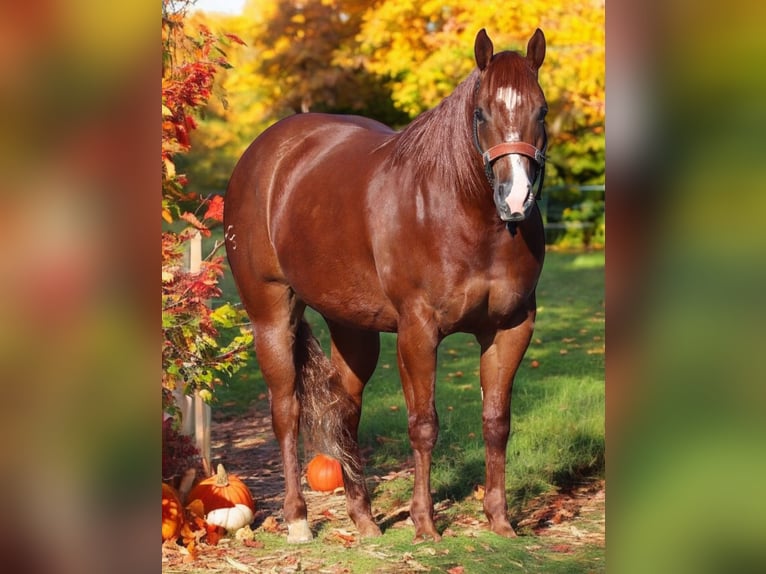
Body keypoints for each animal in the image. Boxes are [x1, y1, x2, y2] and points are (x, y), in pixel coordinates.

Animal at [225, 28, 548, 544]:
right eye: (481, 112)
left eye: (541, 110)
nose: (516, 199)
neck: (463, 212)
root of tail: (264, 154)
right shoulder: (418, 331)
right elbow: (423, 425)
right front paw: (425, 524)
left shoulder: (512, 327)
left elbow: (497, 422)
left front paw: (500, 521)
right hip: (271, 315)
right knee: (287, 412)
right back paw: (298, 519)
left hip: (353, 326)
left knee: (345, 411)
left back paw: (364, 518)